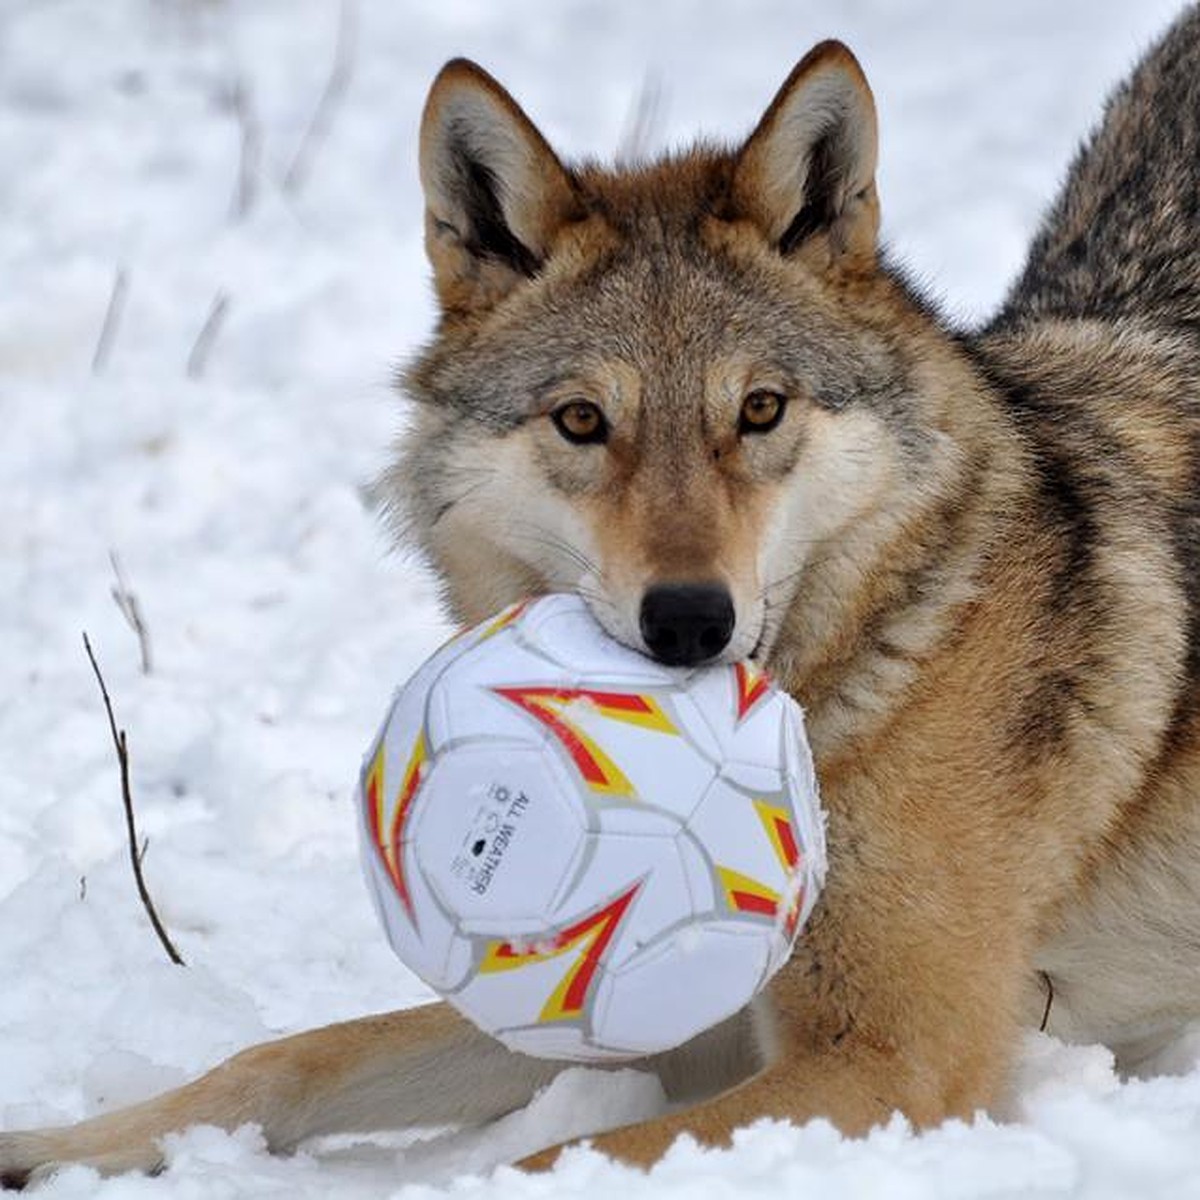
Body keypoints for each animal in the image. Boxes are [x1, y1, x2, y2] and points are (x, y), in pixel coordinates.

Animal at [2, 7, 1200, 1190]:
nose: (689, 621)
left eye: (759, 410)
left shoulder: (896, 1060)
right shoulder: (656, 1012)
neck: (871, 668)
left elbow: (544, 1161)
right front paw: (52, 1149)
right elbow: (285, 1058)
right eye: (583, 421)